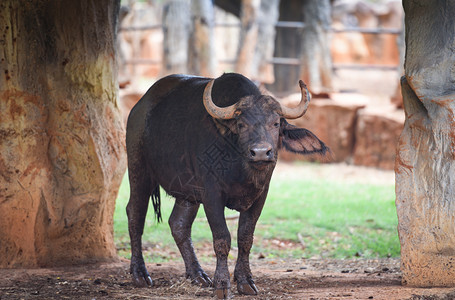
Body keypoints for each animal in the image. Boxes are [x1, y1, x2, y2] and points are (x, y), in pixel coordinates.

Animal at [126, 72, 330, 298]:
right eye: (241, 124)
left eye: (276, 123)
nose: (261, 152)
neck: (241, 169)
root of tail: (139, 109)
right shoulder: (212, 195)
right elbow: (222, 239)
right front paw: (222, 285)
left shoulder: (260, 196)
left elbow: (246, 237)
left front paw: (245, 281)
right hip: (139, 171)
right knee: (135, 214)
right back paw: (140, 274)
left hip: (188, 193)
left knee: (178, 224)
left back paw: (198, 275)